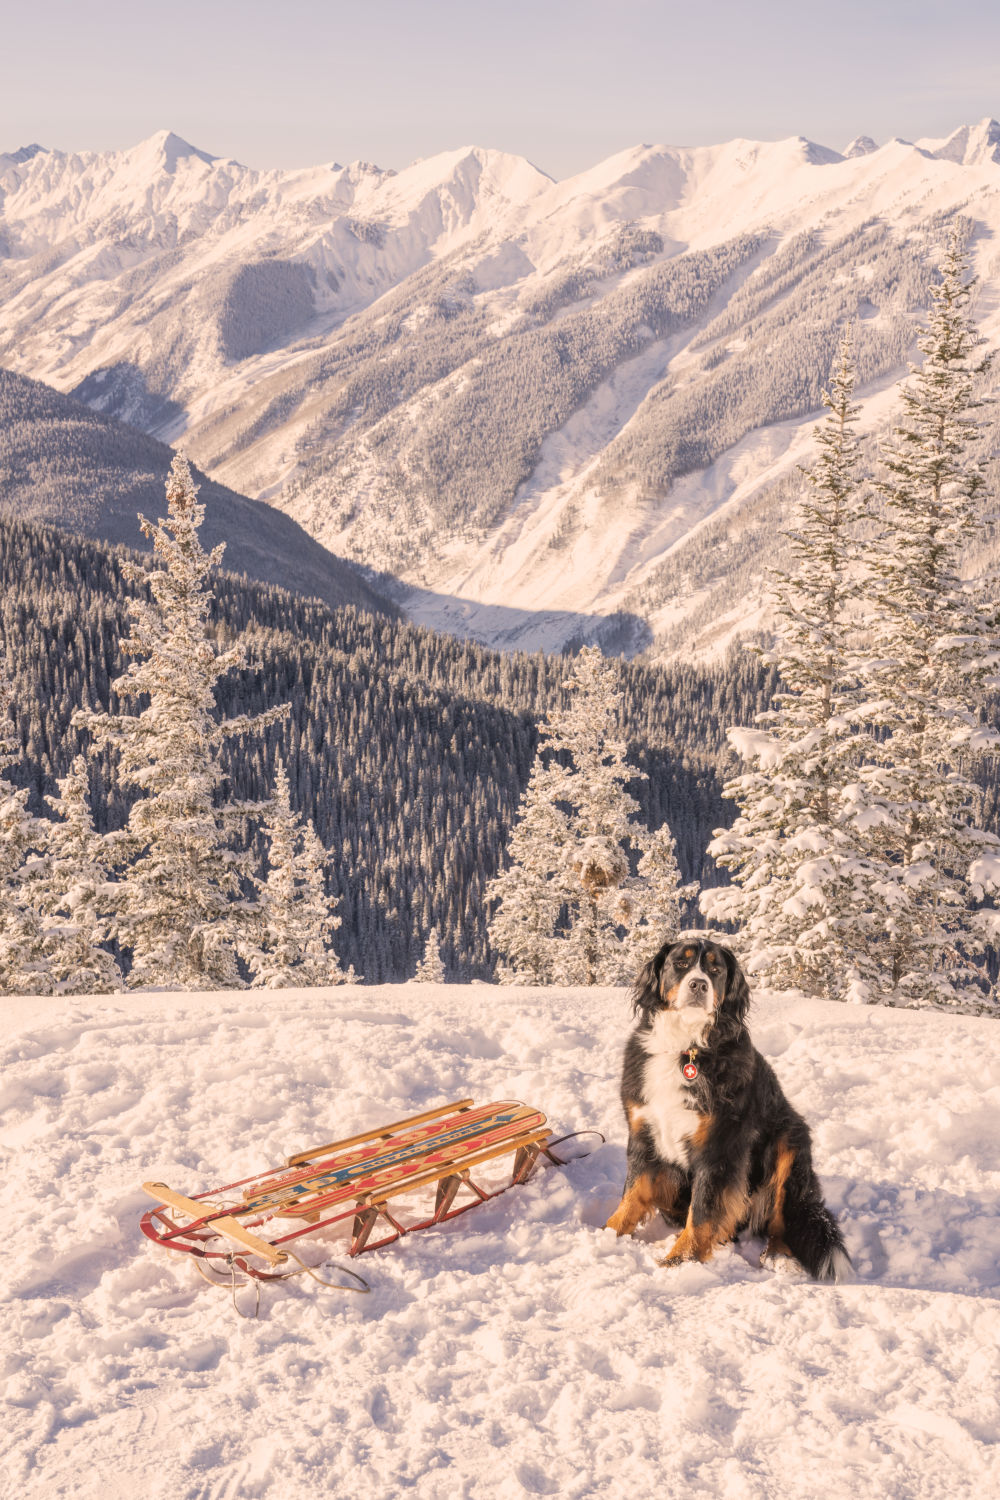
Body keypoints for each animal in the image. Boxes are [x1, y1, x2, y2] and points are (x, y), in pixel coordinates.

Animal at [602, 936, 851, 1278]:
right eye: (681, 962)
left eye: (715, 970)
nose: (698, 984)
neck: (687, 1048)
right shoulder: (644, 1131)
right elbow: (633, 1191)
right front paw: (606, 1235)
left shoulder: (720, 1146)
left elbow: (703, 1210)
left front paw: (679, 1261)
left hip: (788, 1144)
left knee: (781, 1219)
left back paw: (780, 1256)